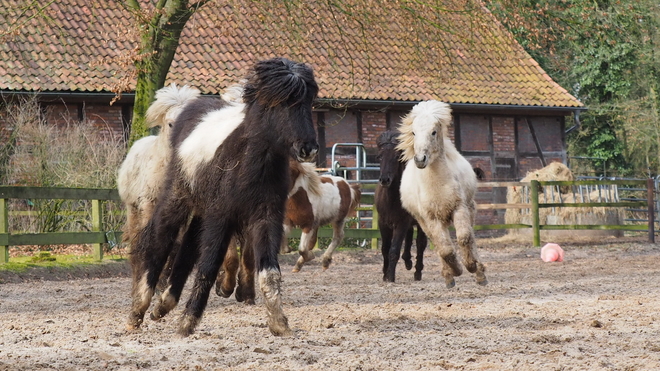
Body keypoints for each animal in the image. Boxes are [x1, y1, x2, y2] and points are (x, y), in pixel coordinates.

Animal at [127, 57, 320, 338]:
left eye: (309, 101)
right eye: (280, 102)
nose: (308, 149)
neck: (248, 164)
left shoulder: (266, 216)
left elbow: (269, 272)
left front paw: (279, 323)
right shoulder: (221, 215)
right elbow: (208, 265)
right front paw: (188, 322)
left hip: (202, 210)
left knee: (187, 248)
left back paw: (164, 305)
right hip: (178, 199)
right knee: (159, 244)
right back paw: (138, 311)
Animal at [376, 130, 428, 282]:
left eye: (397, 157)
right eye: (379, 157)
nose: (384, 179)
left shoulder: (401, 223)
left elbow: (394, 250)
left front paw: (390, 276)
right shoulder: (383, 223)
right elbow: (385, 249)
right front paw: (385, 273)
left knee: (421, 244)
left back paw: (417, 272)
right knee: (409, 238)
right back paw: (408, 262)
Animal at [394, 100, 488, 290]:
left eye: (433, 132)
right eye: (414, 132)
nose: (420, 160)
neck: (438, 184)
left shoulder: (459, 208)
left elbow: (464, 238)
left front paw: (471, 267)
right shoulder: (431, 218)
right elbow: (445, 249)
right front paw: (456, 271)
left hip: (470, 209)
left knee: (471, 237)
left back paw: (480, 273)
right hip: (425, 223)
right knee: (438, 244)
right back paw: (449, 276)